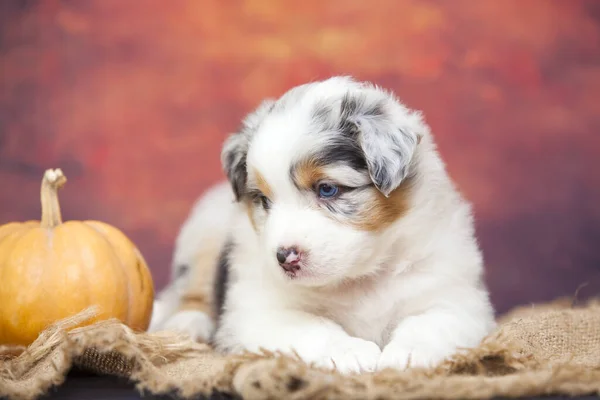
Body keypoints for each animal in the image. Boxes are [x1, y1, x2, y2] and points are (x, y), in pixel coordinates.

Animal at [148, 76, 494, 376]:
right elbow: (312, 326)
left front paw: (406, 356)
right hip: (204, 230)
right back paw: (188, 323)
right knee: (189, 289)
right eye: (264, 200)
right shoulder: (259, 309)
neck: (358, 278)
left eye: (327, 189)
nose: (285, 258)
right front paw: (352, 352)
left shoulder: (457, 298)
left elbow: (430, 323)